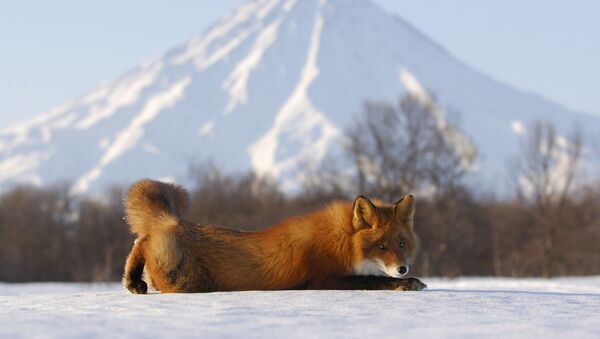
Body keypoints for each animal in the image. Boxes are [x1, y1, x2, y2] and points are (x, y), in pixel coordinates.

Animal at [122, 179, 426, 294]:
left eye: (401, 244)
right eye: (380, 245)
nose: (402, 268)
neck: (340, 241)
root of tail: (175, 222)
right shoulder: (322, 279)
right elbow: (373, 280)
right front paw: (406, 283)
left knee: (140, 240)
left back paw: (133, 281)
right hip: (183, 279)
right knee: (143, 242)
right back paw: (134, 280)